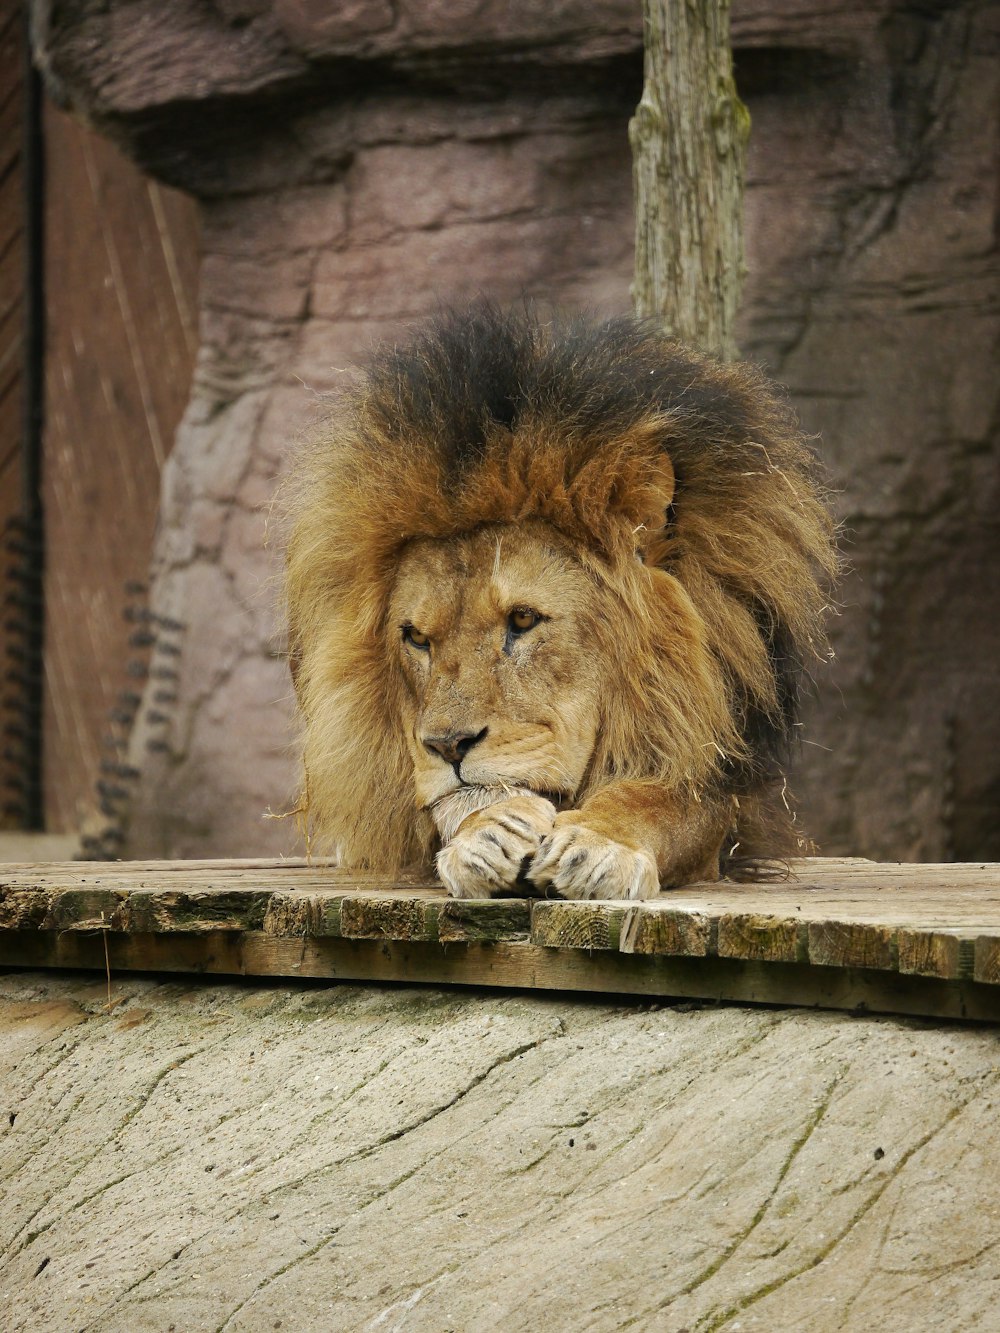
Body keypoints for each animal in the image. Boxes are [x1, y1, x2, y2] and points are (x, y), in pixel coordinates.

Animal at [284, 306, 837, 901]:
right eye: (416, 638)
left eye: (523, 619)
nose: (448, 746)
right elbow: (446, 808)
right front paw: (487, 830)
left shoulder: (715, 790)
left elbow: (659, 802)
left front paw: (599, 844)